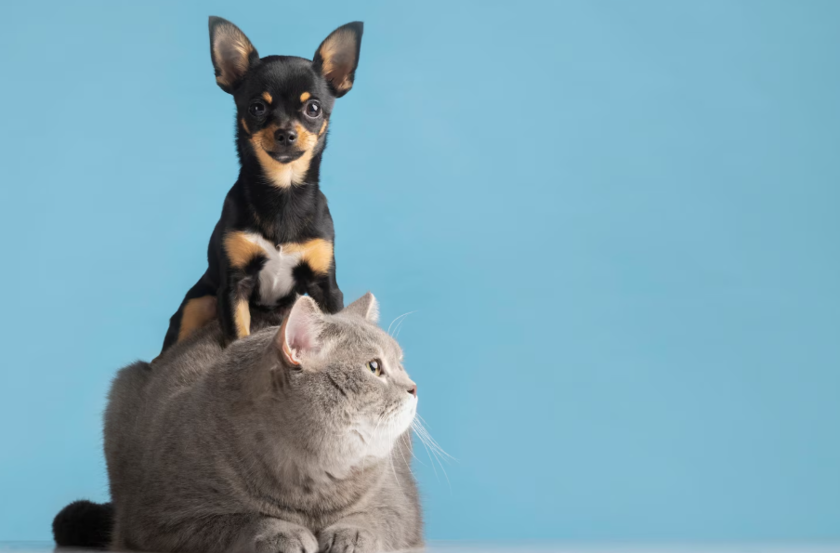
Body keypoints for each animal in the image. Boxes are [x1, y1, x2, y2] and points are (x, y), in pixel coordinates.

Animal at [104, 292, 422, 553]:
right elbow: (244, 519)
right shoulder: (160, 519)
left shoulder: (400, 503)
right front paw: (283, 534)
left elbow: (372, 518)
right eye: (374, 367)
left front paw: (352, 535)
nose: (414, 387)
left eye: (400, 363)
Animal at [160, 17, 363, 353]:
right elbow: (237, 337)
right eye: (257, 108)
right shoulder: (234, 289)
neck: (283, 191)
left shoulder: (326, 287)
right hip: (196, 305)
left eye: (313, 108)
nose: (285, 133)